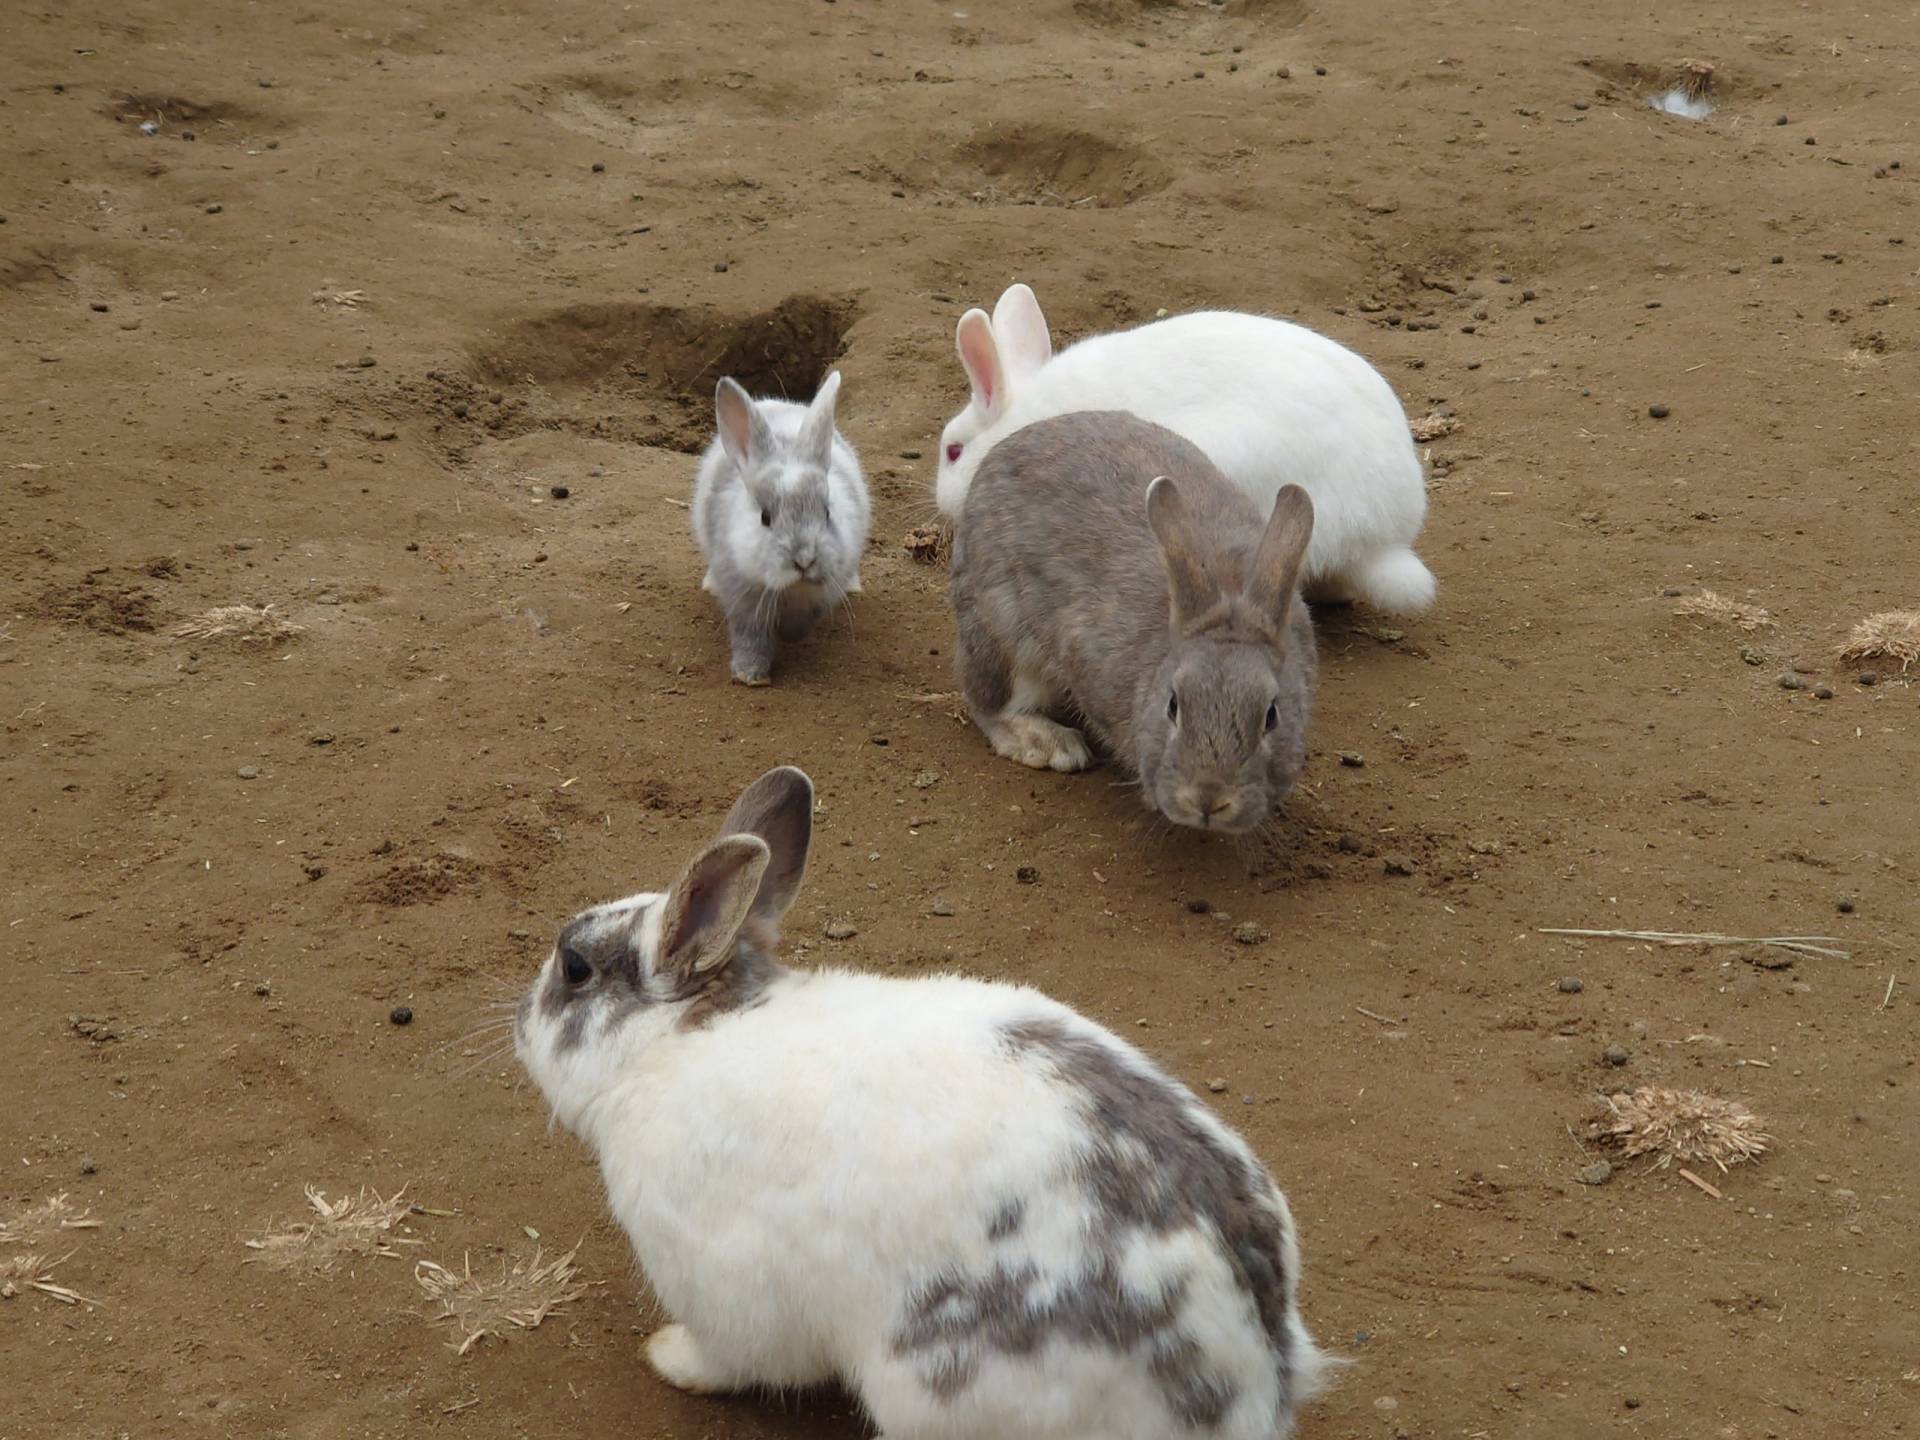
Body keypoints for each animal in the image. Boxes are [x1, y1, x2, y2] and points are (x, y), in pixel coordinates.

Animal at [514, 764, 1332, 1440]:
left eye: (575, 968)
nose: (519, 1019)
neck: (673, 1045)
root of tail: (1244, 1383)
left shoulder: (718, 1288)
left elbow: (727, 1356)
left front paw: (665, 1355)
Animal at [692, 370, 870, 685]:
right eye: (765, 517)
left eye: (827, 512)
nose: (805, 560)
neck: (790, 589)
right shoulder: (743, 598)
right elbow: (750, 637)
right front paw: (750, 676)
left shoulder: (820, 596)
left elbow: (801, 623)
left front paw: (788, 636)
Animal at [948, 411, 1317, 835]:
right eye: (1173, 705)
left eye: (1271, 715)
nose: (1208, 799)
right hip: (1001, 630)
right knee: (989, 702)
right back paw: (1050, 744)